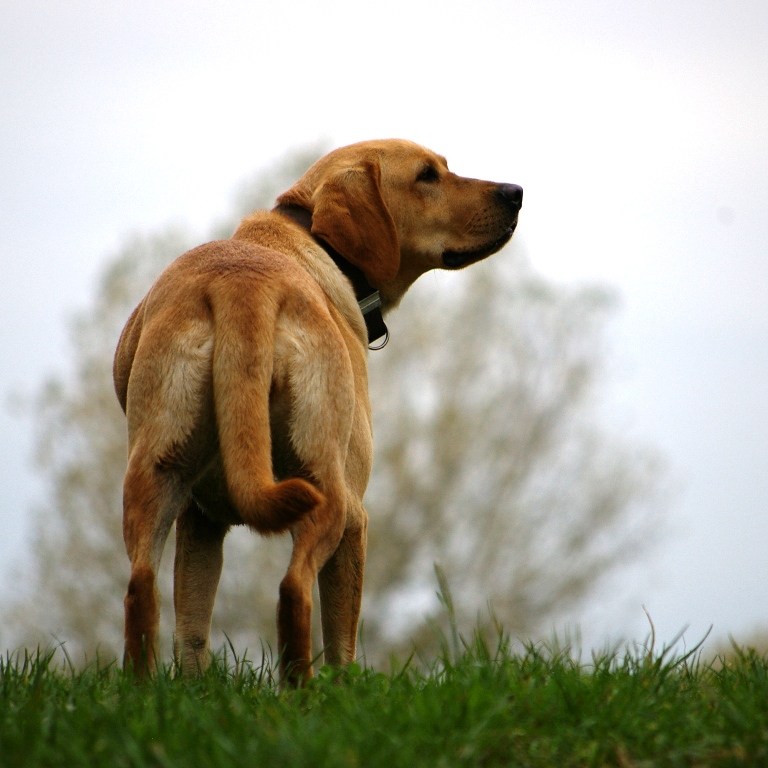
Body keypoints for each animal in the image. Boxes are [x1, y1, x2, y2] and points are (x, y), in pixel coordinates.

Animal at [114, 138, 520, 684]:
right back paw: (304, 692)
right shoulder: (357, 518)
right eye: (427, 175)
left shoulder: (200, 518)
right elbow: (343, 639)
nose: (516, 192)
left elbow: (192, 630)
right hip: (329, 493)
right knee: (294, 591)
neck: (313, 242)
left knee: (141, 589)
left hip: (154, 477)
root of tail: (241, 288)